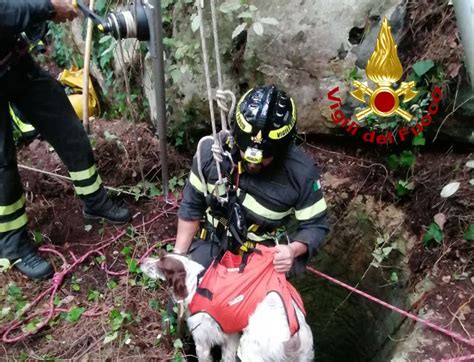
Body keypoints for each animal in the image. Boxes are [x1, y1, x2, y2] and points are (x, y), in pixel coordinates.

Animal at [141, 249, 314, 362]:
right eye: (161, 256)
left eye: (162, 265)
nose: (142, 261)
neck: (196, 282)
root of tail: (293, 337)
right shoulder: (230, 338)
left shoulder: (202, 342)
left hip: (250, 351)